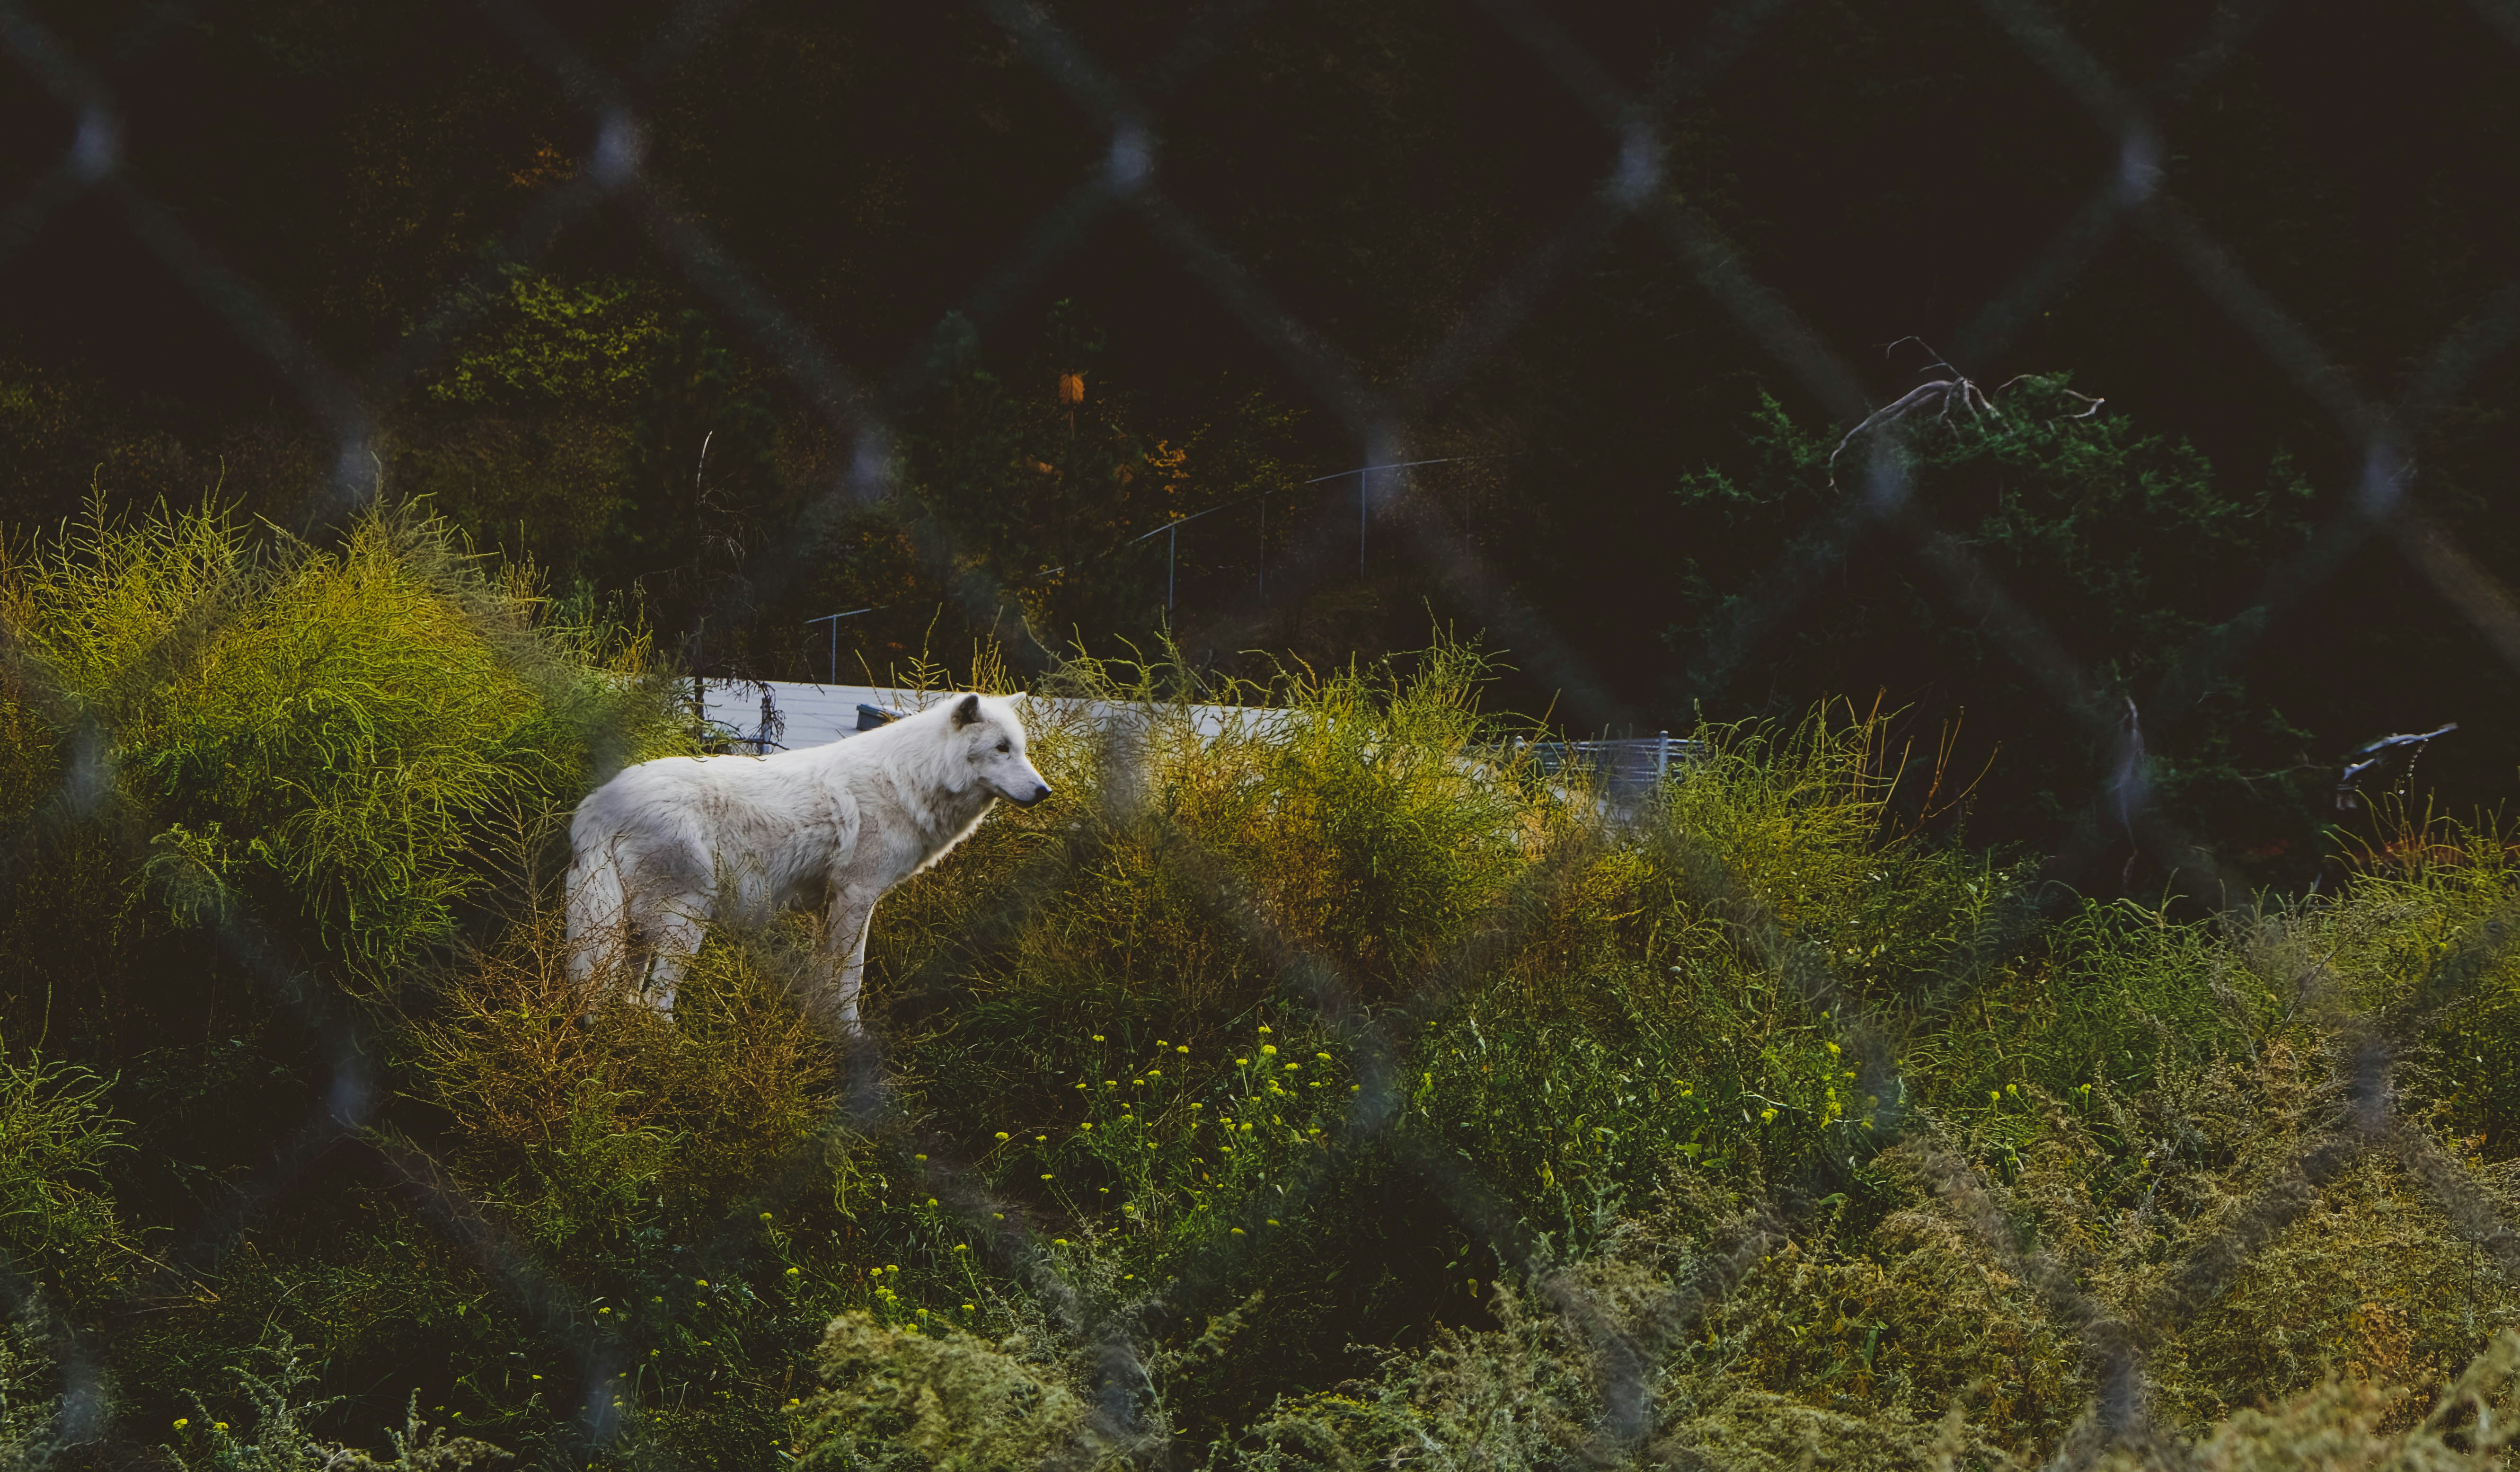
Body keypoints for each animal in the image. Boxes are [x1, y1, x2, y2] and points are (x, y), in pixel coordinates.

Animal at [563, 692, 1050, 1028]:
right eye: (1001, 748)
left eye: (1021, 749)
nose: (1044, 791)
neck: (911, 779)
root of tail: (596, 804)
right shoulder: (857, 898)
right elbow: (851, 979)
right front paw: (850, 1033)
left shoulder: (828, 907)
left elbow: (823, 975)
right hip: (687, 918)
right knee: (655, 1002)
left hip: (636, 924)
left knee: (627, 992)